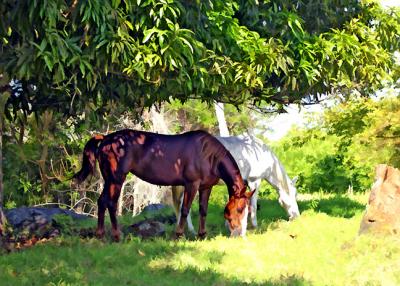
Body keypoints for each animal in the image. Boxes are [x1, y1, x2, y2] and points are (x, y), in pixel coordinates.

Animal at [73, 128, 253, 240]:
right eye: (239, 208)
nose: (239, 232)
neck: (208, 154)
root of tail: (106, 139)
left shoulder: (205, 187)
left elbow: (203, 210)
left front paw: (202, 234)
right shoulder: (191, 185)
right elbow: (185, 210)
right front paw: (178, 234)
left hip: (110, 180)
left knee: (102, 202)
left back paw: (100, 234)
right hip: (116, 179)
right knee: (110, 203)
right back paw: (117, 235)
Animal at [172, 135, 300, 233]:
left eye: (296, 195)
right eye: (292, 196)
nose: (296, 216)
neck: (262, 155)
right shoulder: (255, 181)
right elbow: (253, 205)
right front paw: (254, 225)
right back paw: (191, 230)